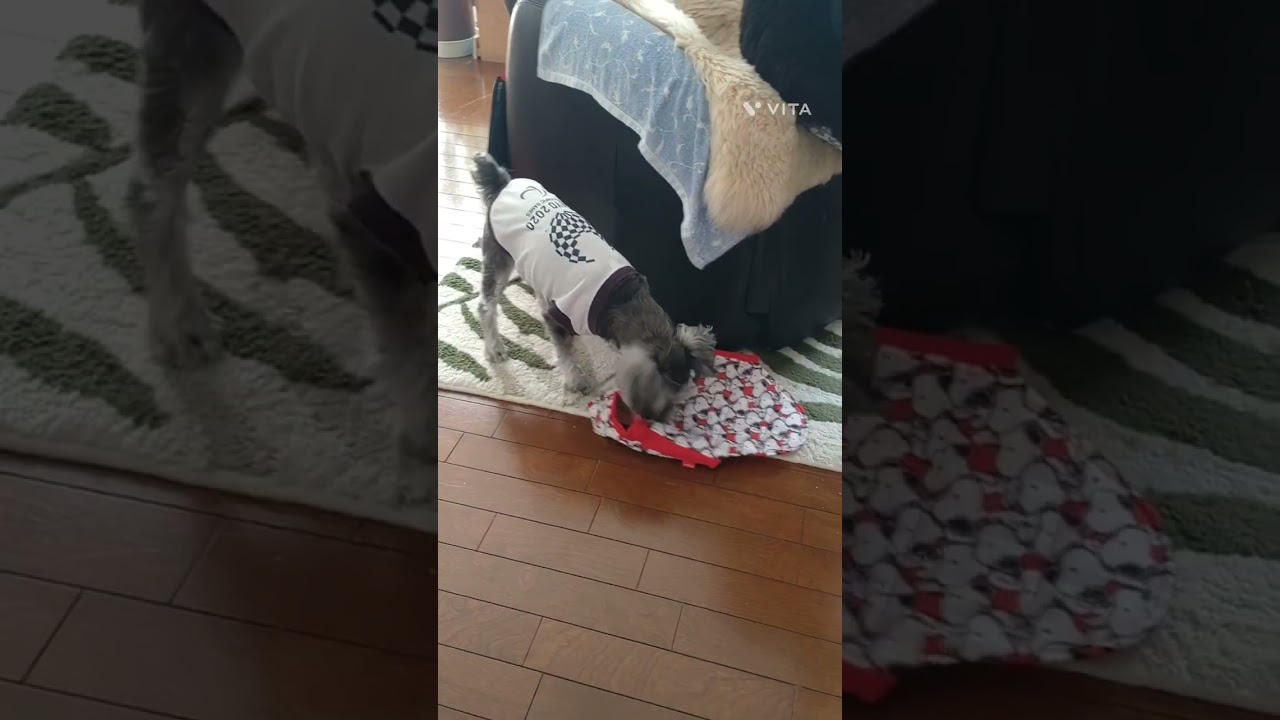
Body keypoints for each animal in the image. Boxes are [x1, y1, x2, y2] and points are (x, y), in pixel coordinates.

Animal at [127, 0, 438, 502]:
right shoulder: (380, 229)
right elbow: (413, 356)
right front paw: (421, 463)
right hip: (194, 41)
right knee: (153, 191)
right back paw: (178, 327)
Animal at [470, 153, 716, 421]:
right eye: (659, 393)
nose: (655, 419)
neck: (622, 300)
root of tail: (502, 183)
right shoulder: (557, 317)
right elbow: (566, 356)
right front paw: (575, 382)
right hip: (498, 259)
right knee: (486, 306)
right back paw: (494, 349)